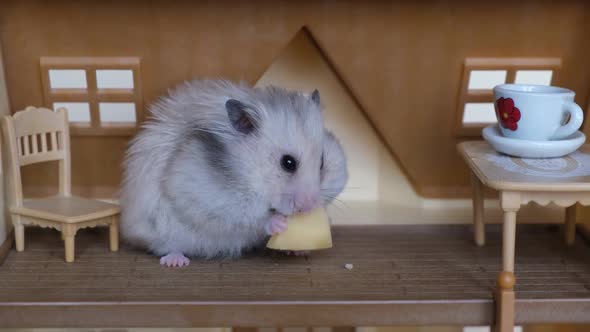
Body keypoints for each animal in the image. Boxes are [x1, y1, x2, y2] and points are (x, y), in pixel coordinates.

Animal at [121, 80, 350, 268]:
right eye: (288, 163)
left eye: (322, 163)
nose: (309, 207)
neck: (249, 175)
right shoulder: (204, 194)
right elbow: (244, 214)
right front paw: (278, 222)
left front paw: (327, 219)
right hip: (160, 228)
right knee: (168, 246)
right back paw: (175, 261)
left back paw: (298, 251)